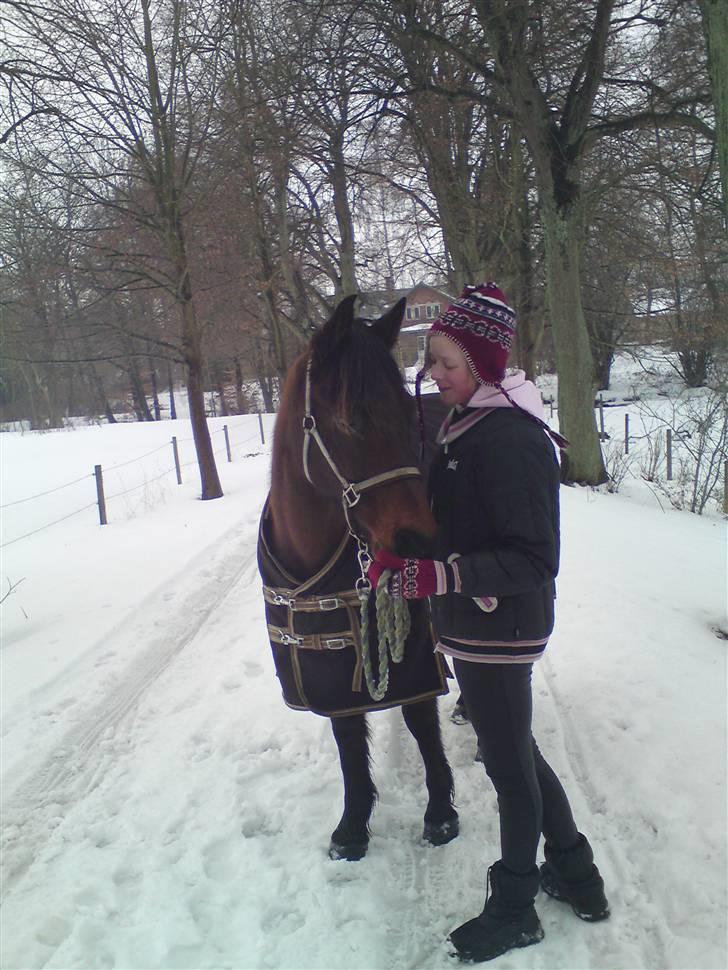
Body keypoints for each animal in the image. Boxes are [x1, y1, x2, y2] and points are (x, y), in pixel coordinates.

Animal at [257, 294, 459, 861]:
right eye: (349, 417)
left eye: (408, 414)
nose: (419, 539)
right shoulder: (326, 662)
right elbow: (348, 741)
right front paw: (352, 826)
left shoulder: (415, 649)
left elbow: (421, 723)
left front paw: (440, 812)